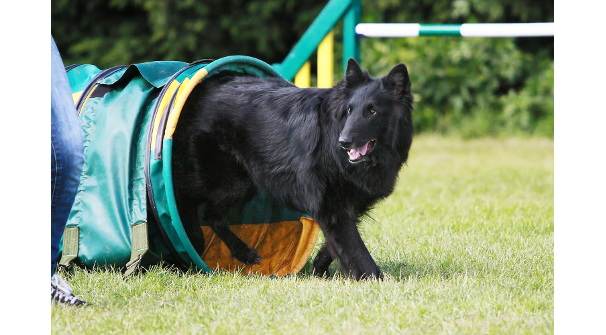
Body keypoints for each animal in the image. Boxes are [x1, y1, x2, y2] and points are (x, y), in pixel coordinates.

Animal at [173, 59, 416, 280]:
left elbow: (338, 244)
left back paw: (243, 253)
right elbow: (356, 249)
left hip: (243, 183)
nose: (343, 142)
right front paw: (375, 279)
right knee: (185, 196)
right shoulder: (331, 207)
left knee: (213, 215)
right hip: (224, 180)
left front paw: (319, 266)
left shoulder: (349, 206)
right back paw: (193, 237)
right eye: (349, 110)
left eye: (372, 111)